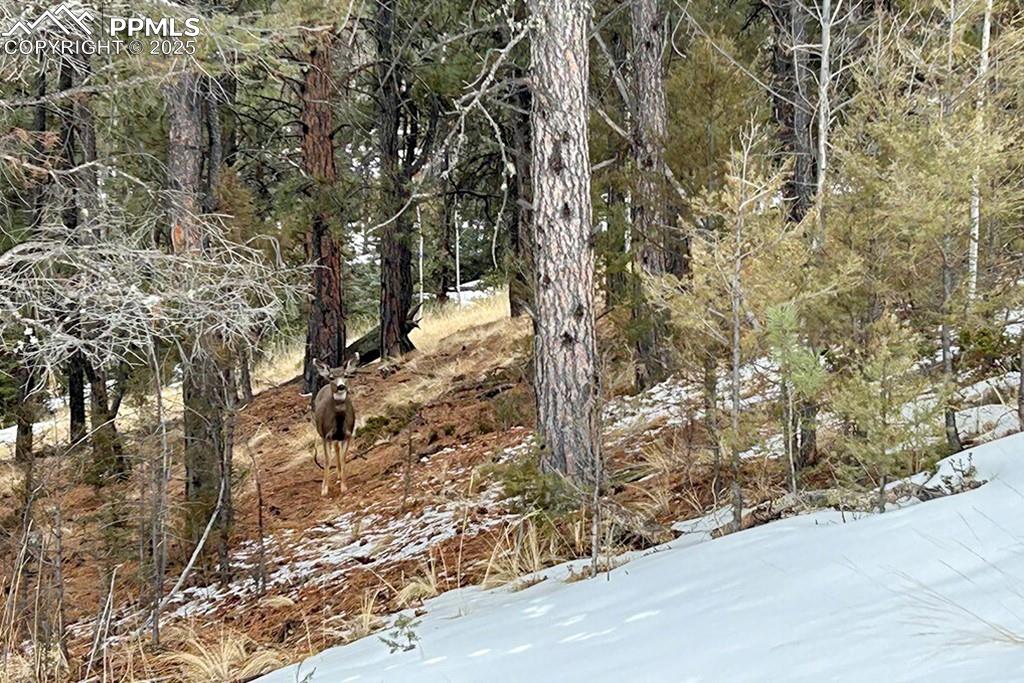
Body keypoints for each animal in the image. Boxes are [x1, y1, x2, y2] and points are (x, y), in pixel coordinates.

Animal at [312, 354, 359, 497]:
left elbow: (344, 458)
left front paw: (344, 486)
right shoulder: (325, 435)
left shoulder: (348, 434)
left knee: (337, 448)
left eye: (345, 375)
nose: (341, 386)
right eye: (331, 377)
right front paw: (324, 489)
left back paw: (339, 475)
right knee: (335, 448)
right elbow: (327, 460)